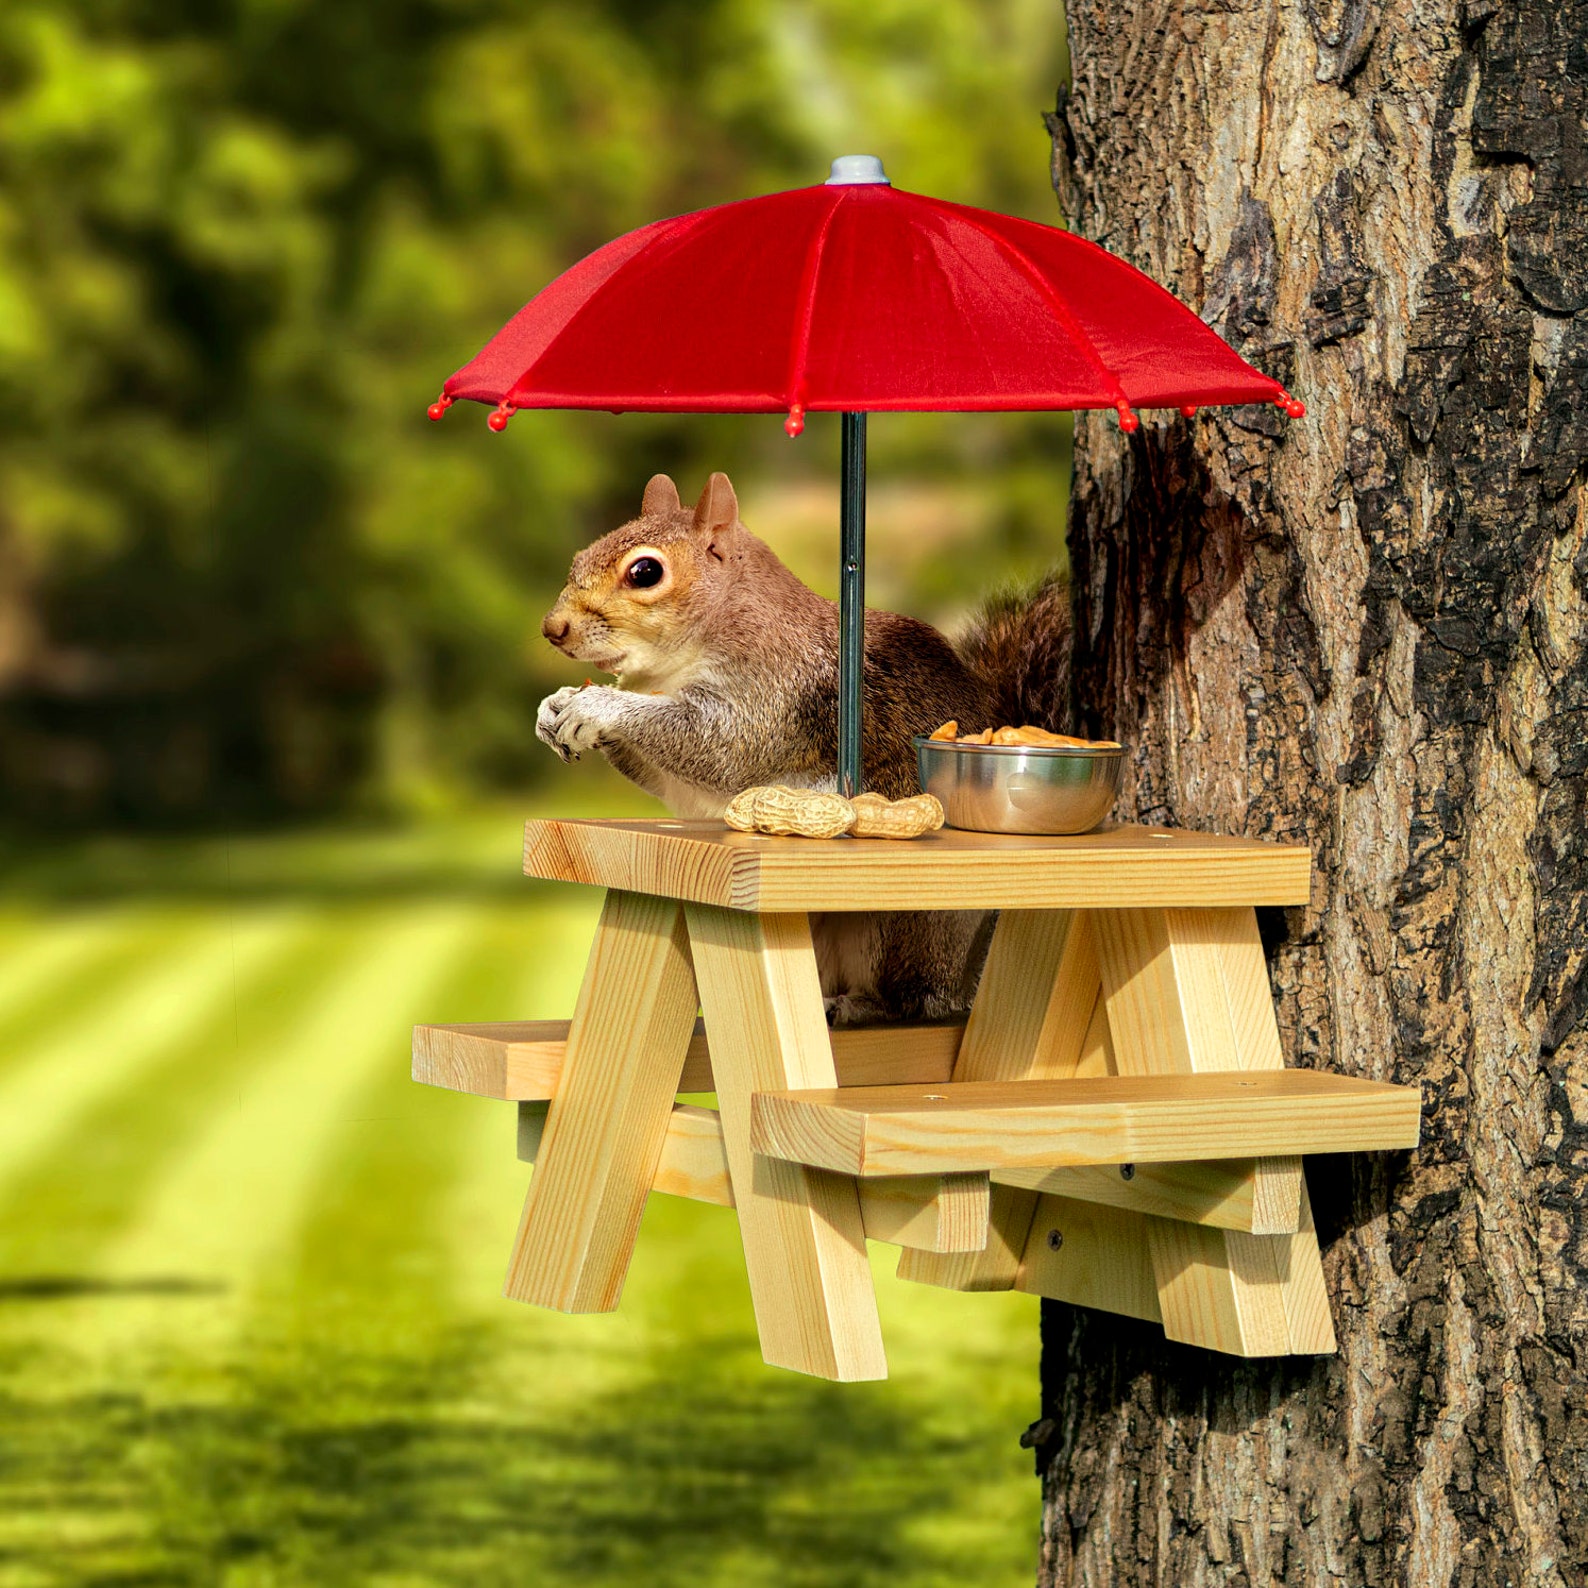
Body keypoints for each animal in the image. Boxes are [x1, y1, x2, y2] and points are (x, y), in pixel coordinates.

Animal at [536, 470, 1072, 1025]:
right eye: (580, 557)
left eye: (645, 572)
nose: (553, 630)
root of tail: (967, 978)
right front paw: (555, 706)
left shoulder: (772, 696)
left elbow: (718, 749)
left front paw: (598, 705)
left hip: (899, 927)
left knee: (914, 1000)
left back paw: (858, 1005)